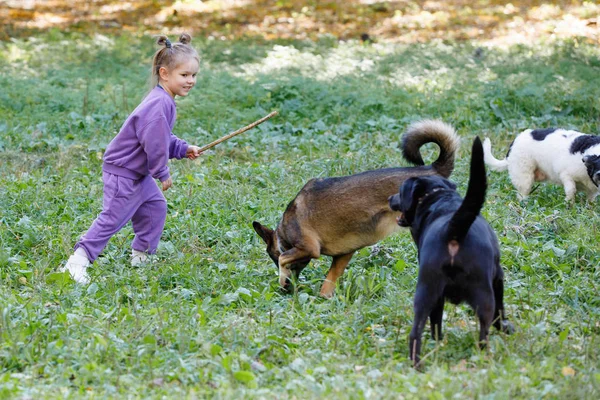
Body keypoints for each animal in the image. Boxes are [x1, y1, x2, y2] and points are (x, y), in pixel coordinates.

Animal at [252, 120, 460, 298]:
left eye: (271, 257)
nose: (286, 290)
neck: (283, 233)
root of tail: (433, 170)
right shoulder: (343, 255)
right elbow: (328, 282)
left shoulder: (308, 248)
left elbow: (283, 258)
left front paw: (282, 278)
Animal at [390, 138, 516, 368]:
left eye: (400, 192)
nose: (389, 198)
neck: (439, 198)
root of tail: (453, 229)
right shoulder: (498, 278)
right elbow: (500, 310)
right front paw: (505, 327)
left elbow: (435, 323)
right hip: (483, 295)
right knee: (484, 330)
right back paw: (484, 358)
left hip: (426, 291)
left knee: (416, 332)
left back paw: (418, 364)